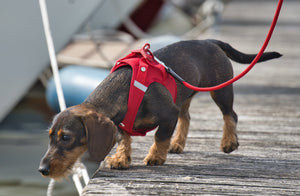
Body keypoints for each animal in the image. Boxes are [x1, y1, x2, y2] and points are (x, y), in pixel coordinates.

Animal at [38, 39, 282, 179]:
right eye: (49, 137)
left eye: (66, 137)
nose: (42, 170)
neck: (125, 87)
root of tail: (208, 40)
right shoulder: (122, 123)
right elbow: (125, 138)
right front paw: (121, 158)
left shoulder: (168, 115)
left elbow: (159, 136)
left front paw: (155, 156)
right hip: (184, 96)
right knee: (187, 117)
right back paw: (178, 144)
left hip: (220, 90)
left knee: (230, 114)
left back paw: (229, 141)